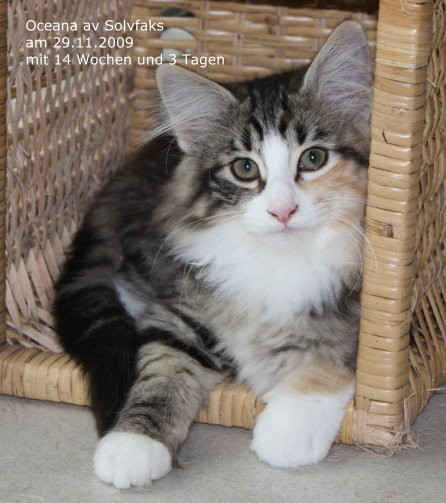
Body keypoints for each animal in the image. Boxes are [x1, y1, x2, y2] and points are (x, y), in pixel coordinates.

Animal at [54, 20, 372, 489]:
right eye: (245, 168)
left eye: (314, 158)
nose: (282, 210)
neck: (282, 258)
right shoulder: (181, 310)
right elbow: (161, 371)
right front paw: (132, 444)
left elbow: (331, 359)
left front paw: (288, 430)